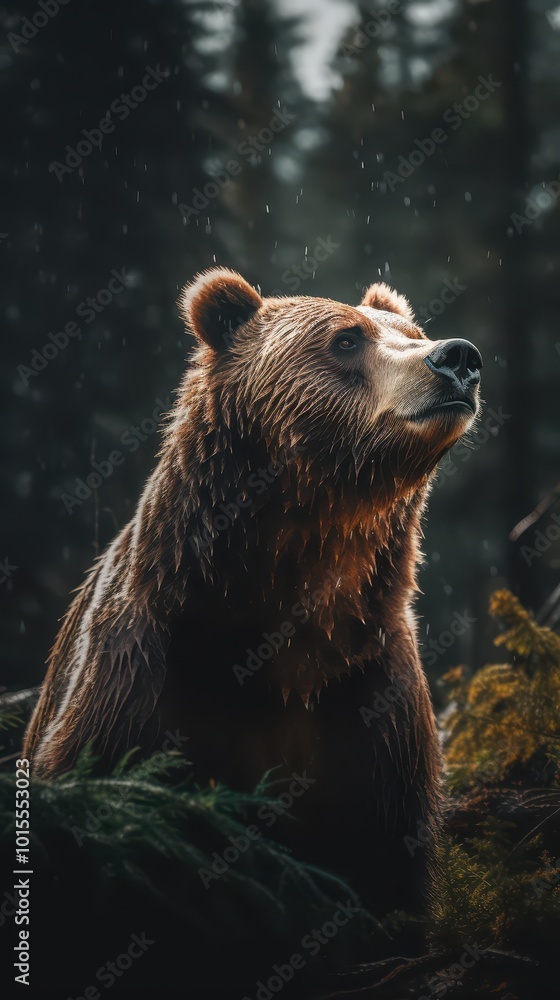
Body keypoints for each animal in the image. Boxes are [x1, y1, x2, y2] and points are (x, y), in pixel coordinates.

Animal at [24, 268, 482, 916]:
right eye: (347, 339)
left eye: (412, 333)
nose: (457, 358)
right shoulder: (142, 670)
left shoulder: (371, 688)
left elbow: (390, 856)